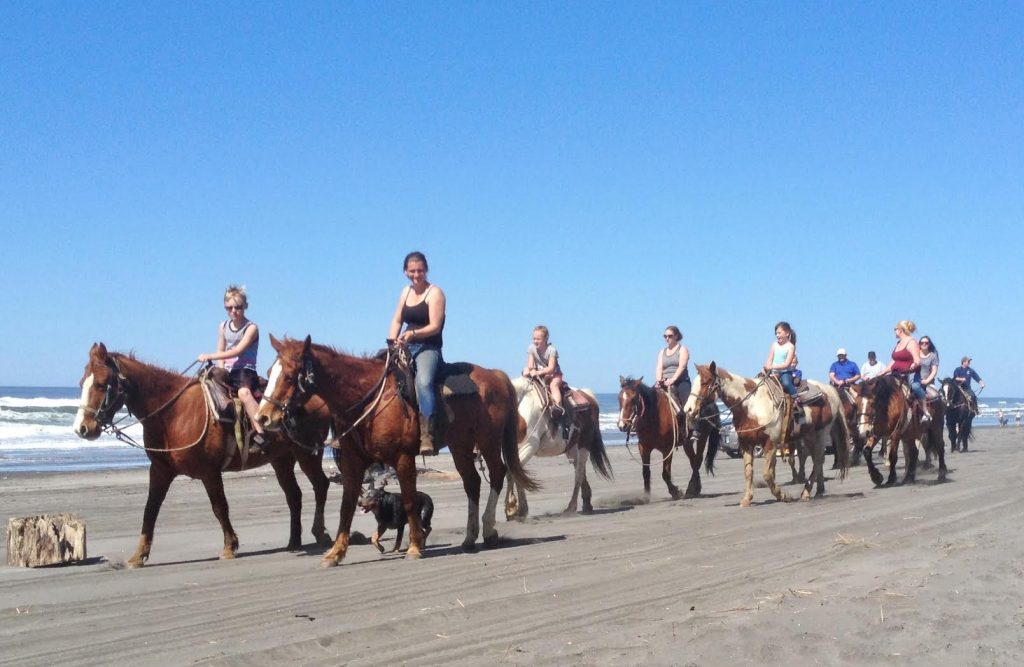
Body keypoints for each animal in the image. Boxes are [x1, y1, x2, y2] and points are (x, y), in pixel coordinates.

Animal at [74, 344, 333, 569]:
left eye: (101, 384)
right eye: (81, 383)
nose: (82, 428)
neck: (173, 413)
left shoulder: (210, 471)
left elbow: (220, 507)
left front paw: (229, 547)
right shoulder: (160, 470)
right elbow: (150, 510)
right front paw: (138, 556)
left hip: (308, 454)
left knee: (321, 485)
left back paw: (320, 533)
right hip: (282, 460)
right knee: (294, 496)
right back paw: (294, 541)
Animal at [253, 336, 536, 565]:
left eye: (290, 375)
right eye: (269, 371)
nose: (262, 417)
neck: (368, 402)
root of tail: (496, 375)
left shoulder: (402, 458)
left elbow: (410, 501)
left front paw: (414, 547)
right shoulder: (353, 462)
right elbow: (347, 505)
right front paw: (335, 553)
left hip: (488, 441)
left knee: (497, 475)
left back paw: (488, 531)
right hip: (461, 446)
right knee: (472, 483)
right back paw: (469, 537)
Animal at [505, 379, 610, 518]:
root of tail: (589, 397)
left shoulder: (529, 446)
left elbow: (512, 473)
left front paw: (511, 509)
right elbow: (516, 474)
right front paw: (520, 509)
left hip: (583, 446)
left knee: (578, 474)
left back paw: (571, 507)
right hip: (572, 448)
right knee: (580, 470)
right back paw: (587, 504)